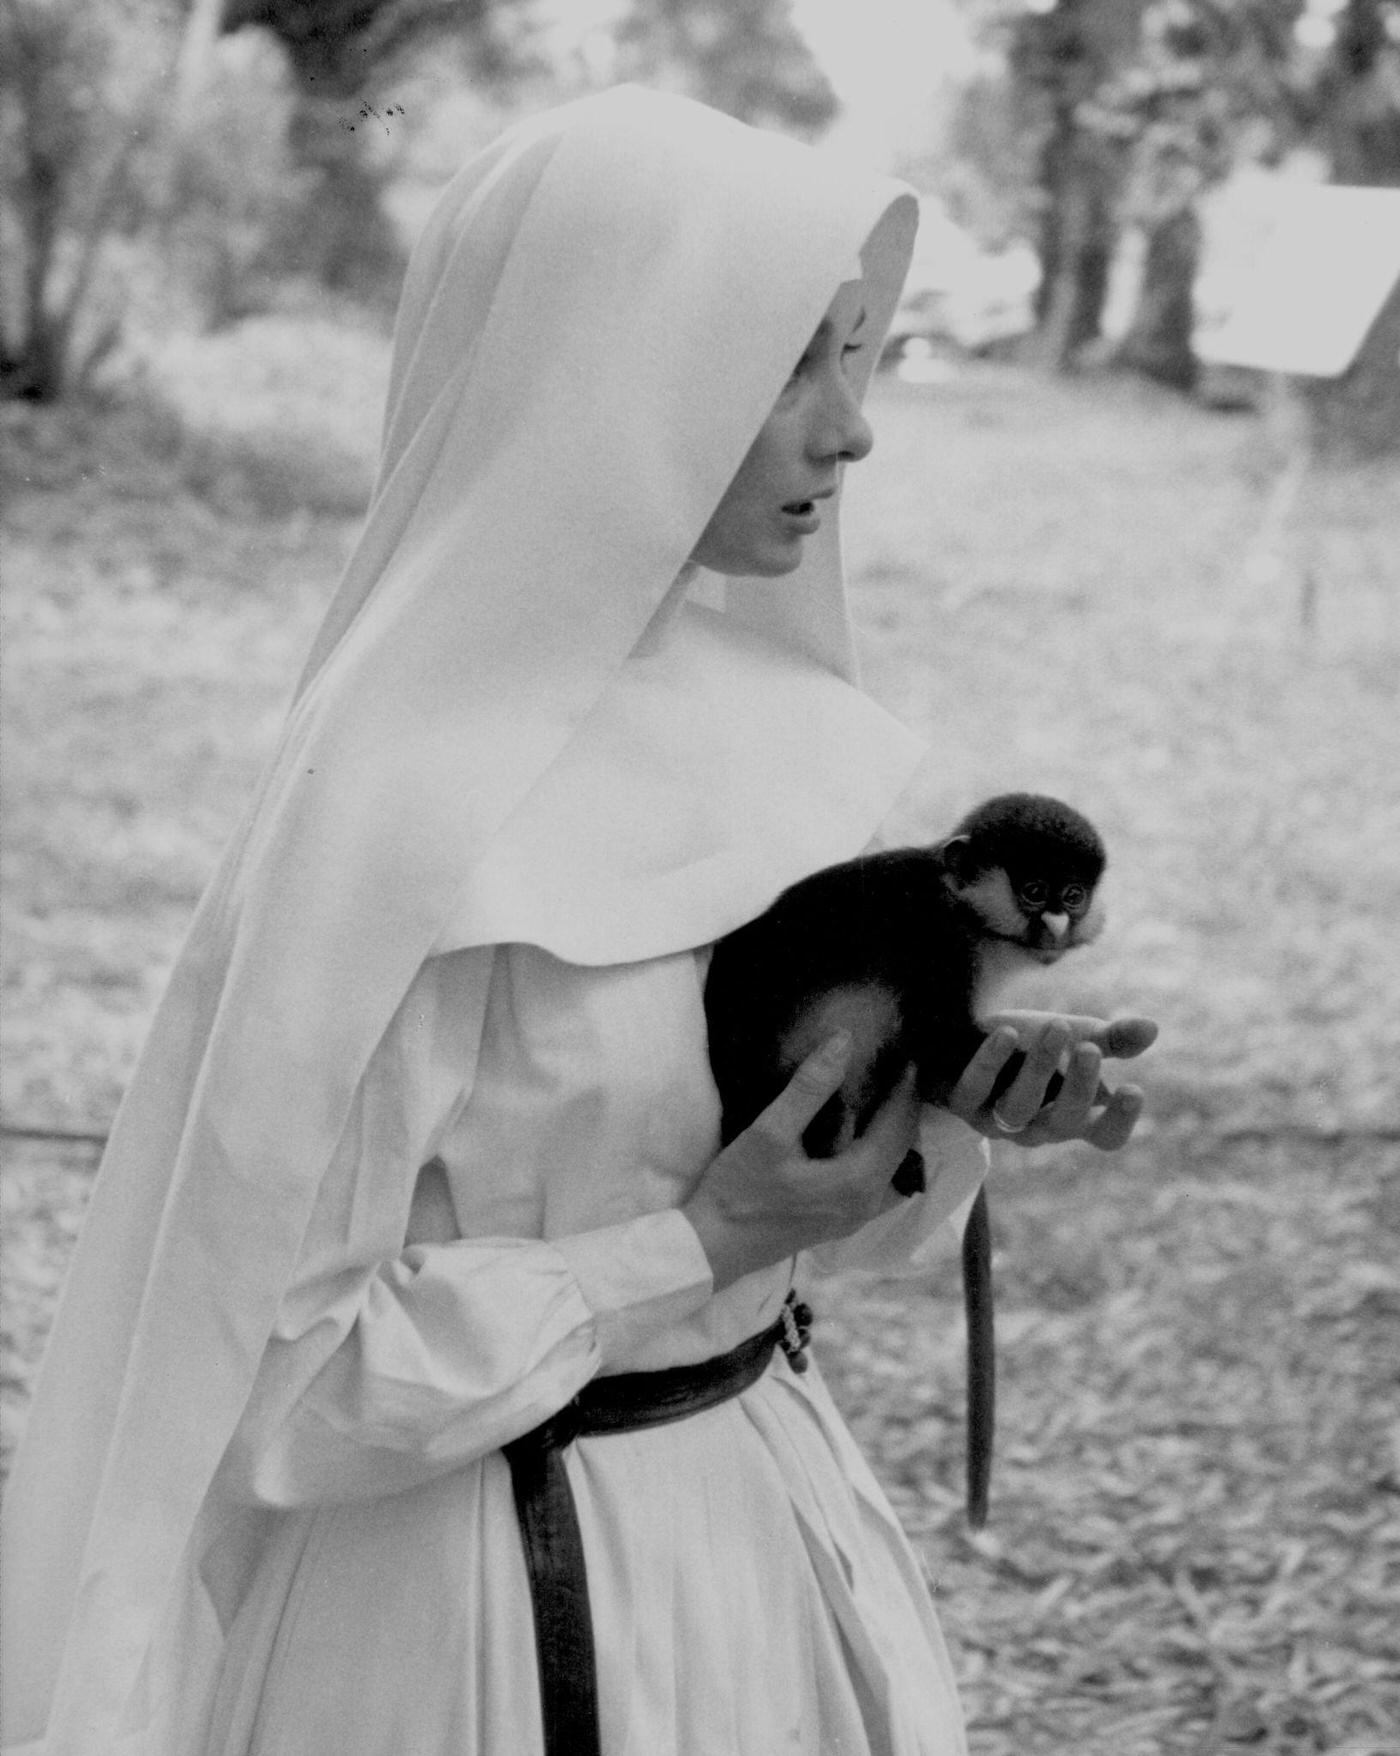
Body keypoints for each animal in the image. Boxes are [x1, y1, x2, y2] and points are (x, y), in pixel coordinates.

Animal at [706, 793, 1110, 1524]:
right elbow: (939, 1038)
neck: (961, 909)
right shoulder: (935, 948)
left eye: (1072, 893)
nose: (1057, 925)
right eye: (1034, 890)